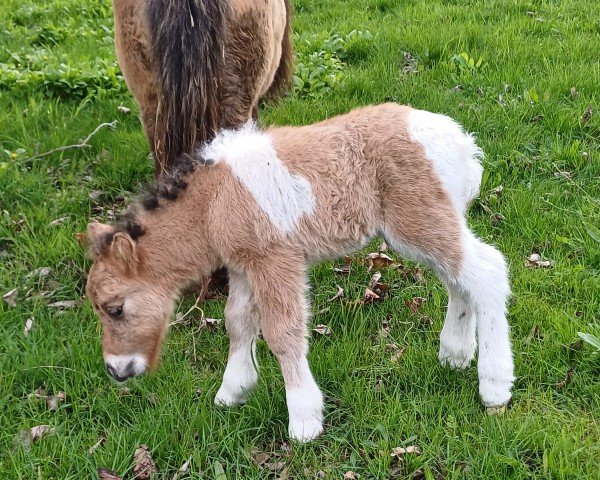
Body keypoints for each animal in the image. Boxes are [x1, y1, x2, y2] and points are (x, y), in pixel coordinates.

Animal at [85, 103, 516, 440]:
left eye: (115, 309)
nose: (115, 370)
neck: (212, 203)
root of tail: (462, 143)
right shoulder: (243, 266)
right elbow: (237, 321)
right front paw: (232, 392)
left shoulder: (276, 260)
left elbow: (282, 332)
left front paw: (305, 421)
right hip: (433, 225)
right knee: (460, 280)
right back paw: (455, 355)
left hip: (419, 221)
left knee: (488, 271)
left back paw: (495, 387)